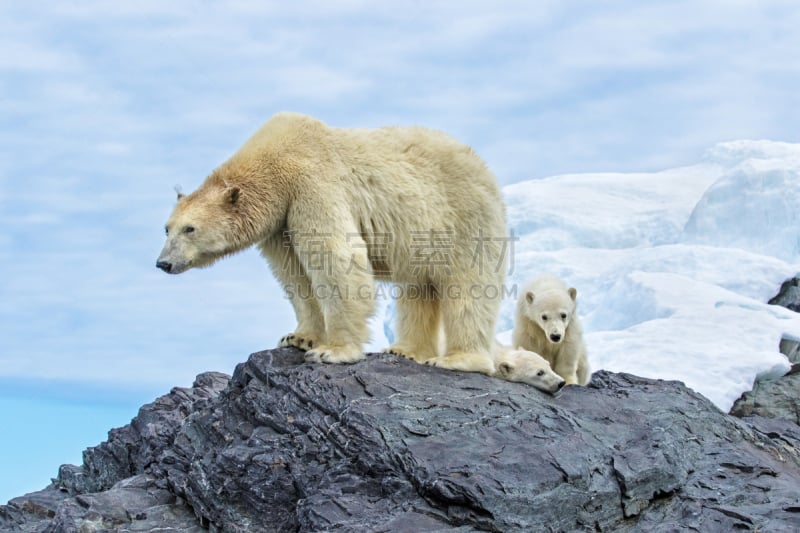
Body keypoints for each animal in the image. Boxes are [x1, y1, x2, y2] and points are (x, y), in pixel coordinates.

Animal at [156, 111, 506, 372]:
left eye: (190, 229)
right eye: (166, 228)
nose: (163, 263)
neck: (275, 162)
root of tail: (484, 168)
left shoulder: (311, 185)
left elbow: (337, 260)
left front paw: (333, 351)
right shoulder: (280, 223)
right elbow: (294, 276)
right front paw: (299, 338)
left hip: (462, 217)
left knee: (468, 288)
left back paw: (460, 359)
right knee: (418, 287)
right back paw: (406, 350)